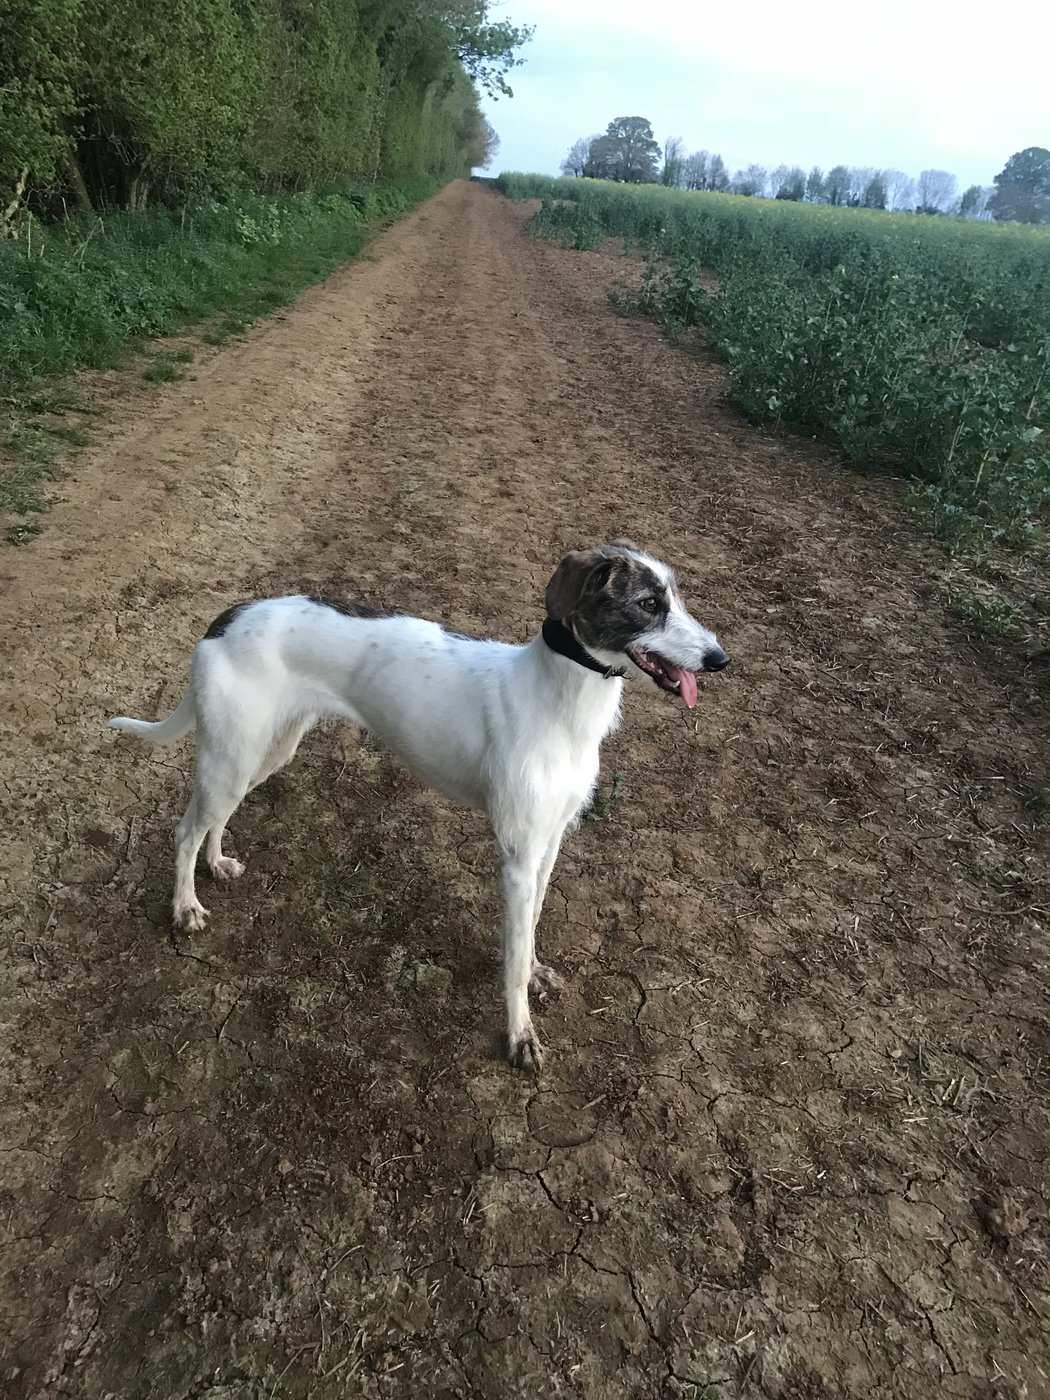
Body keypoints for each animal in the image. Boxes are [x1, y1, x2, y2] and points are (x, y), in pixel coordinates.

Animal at [110, 541, 729, 1070]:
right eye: (648, 604)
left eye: (678, 597)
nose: (720, 659)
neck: (558, 703)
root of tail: (229, 616)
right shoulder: (517, 857)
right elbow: (511, 958)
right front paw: (519, 1035)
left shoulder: (549, 842)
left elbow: (530, 926)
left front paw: (534, 970)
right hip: (233, 756)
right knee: (185, 830)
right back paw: (185, 907)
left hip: (262, 753)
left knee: (214, 819)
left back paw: (217, 864)